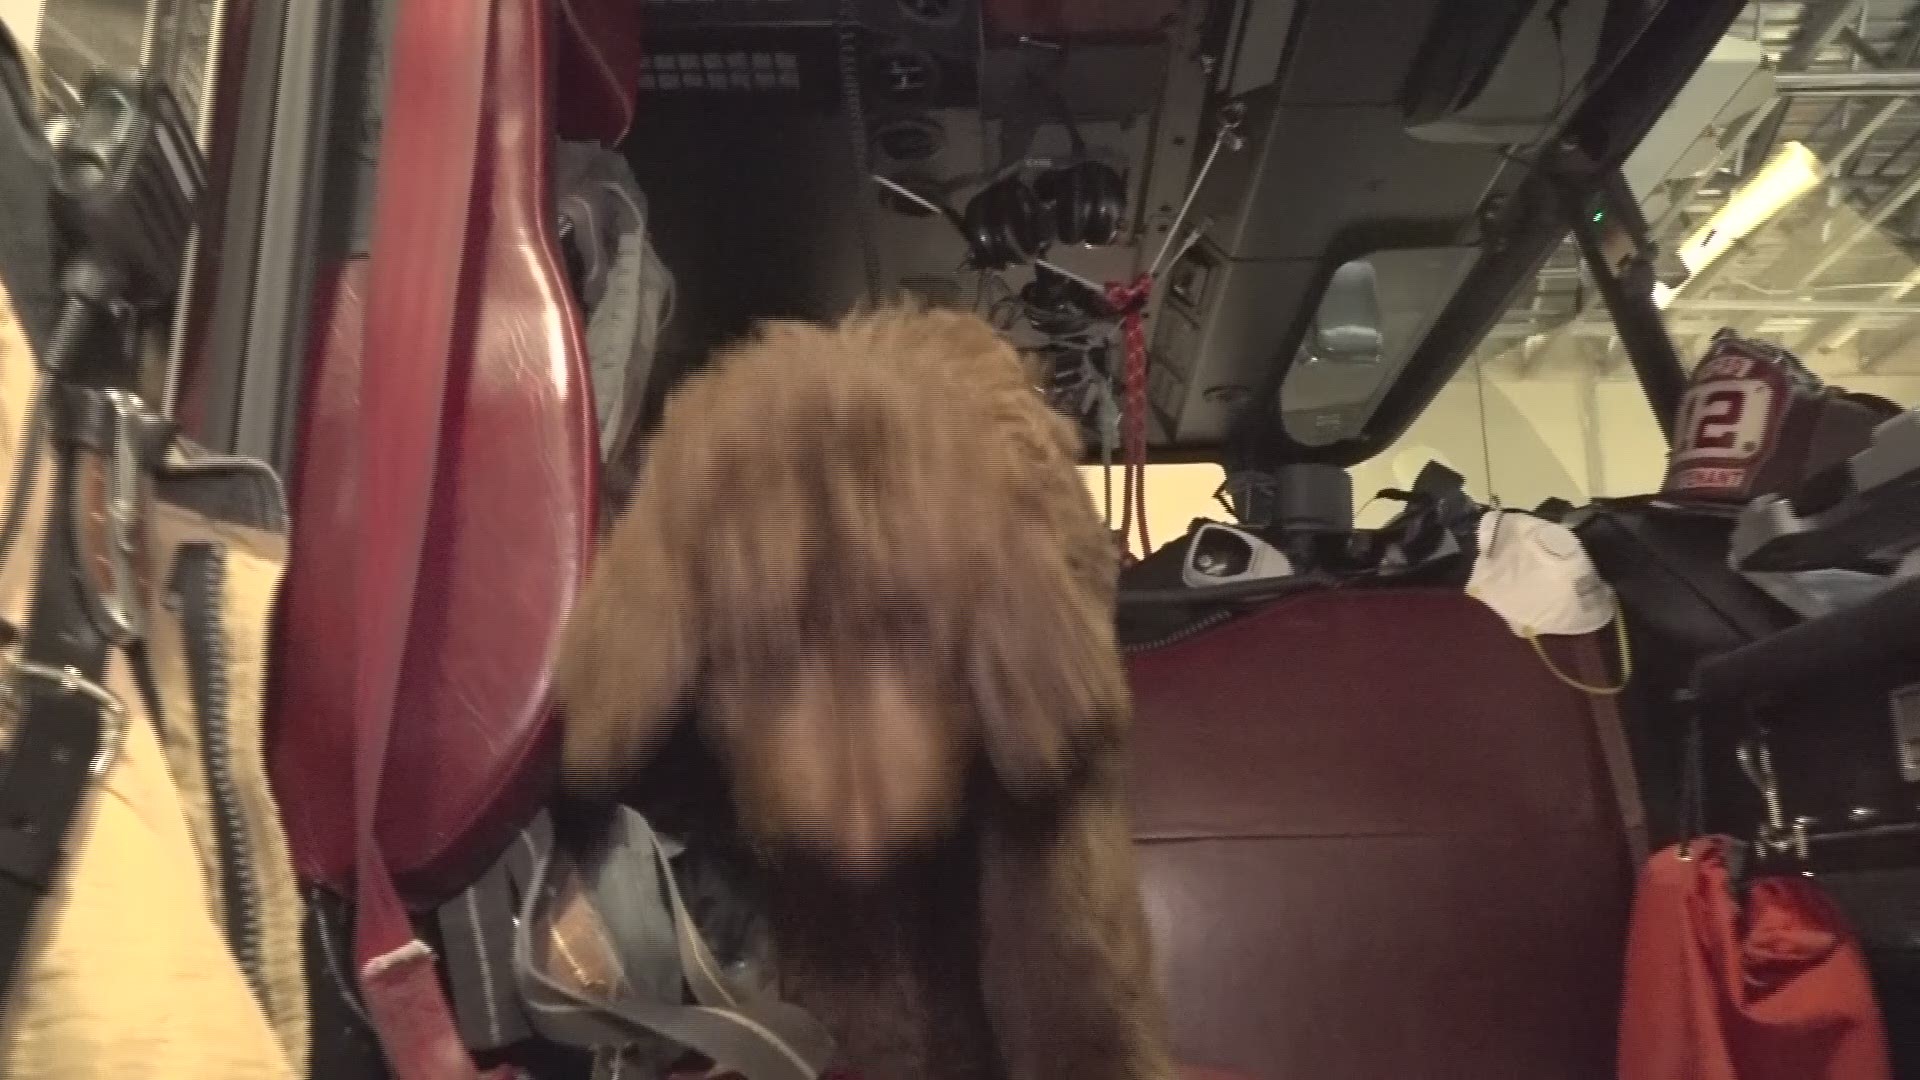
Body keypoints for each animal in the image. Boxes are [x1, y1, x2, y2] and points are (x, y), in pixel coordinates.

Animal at [556, 299, 1175, 1076]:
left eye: (923, 629)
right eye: (758, 645)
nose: (859, 842)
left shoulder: (1055, 783)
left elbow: (1067, 954)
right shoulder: (827, 885)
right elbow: (867, 999)